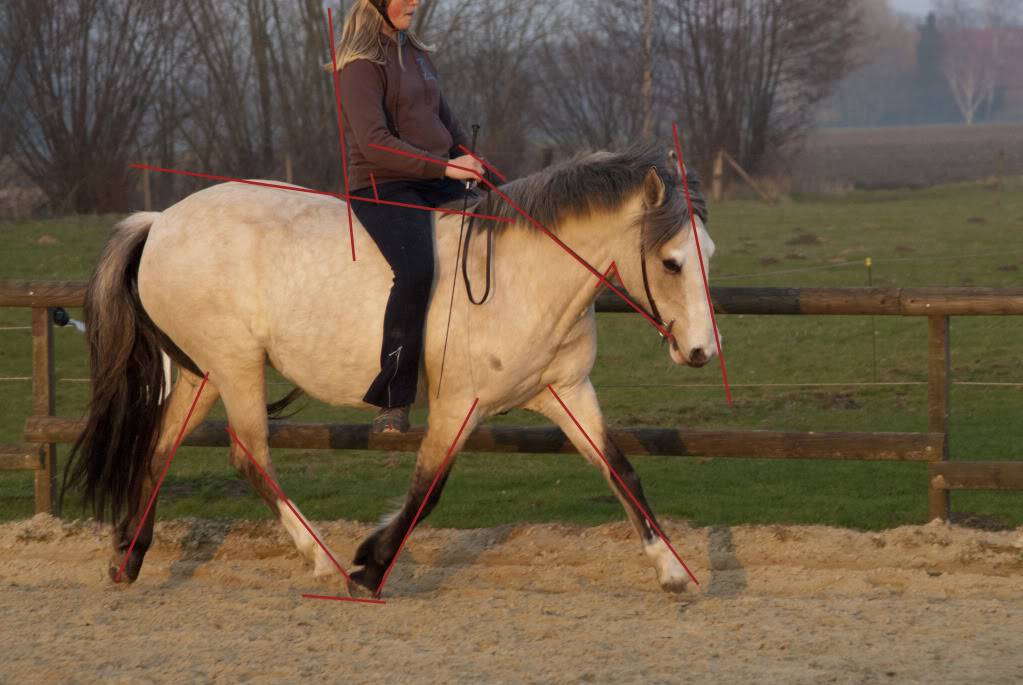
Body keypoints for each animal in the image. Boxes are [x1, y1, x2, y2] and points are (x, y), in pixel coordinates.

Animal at [63, 142, 716, 597]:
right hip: (235, 365)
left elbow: (622, 472)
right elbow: (427, 491)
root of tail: (160, 222)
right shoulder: (458, 405)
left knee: (158, 450)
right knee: (250, 455)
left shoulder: (566, 392)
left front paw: (672, 571)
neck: (521, 277)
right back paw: (323, 561)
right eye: (671, 262)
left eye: (708, 255)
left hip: (204, 373)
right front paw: (368, 568)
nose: (701, 353)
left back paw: (128, 556)